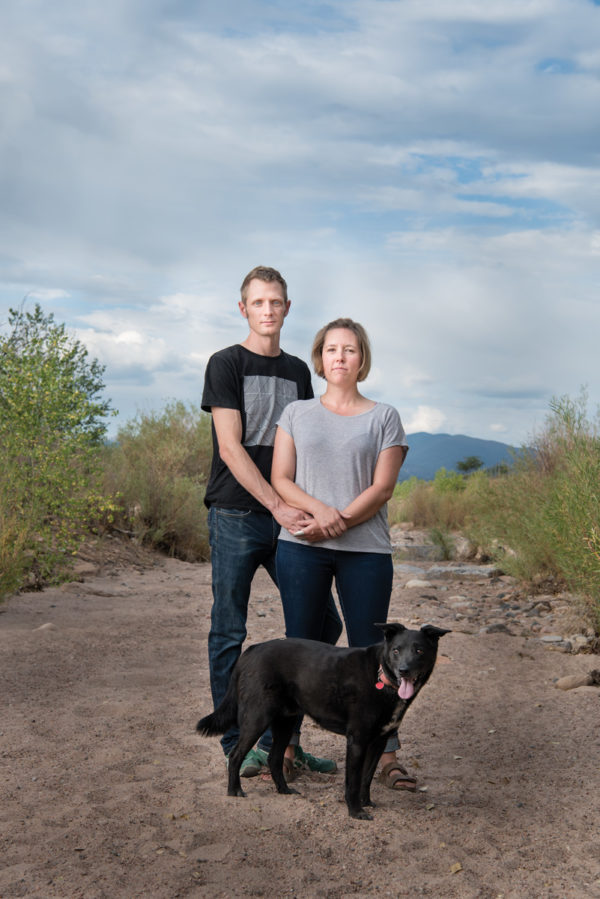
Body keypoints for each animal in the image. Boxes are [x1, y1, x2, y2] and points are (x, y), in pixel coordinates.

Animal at [197, 624, 450, 820]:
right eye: (396, 650)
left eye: (419, 650)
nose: (404, 670)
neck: (382, 678)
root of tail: (251, 650)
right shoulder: (357, 741)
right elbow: (353, 780)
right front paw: (355, 811)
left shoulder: (379, 741)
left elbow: (367, 777)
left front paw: (366, 802)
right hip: (257, 718)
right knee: (236, 755)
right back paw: (234, 791)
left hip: (286, 722)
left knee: (274, 758)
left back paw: (284, 790)